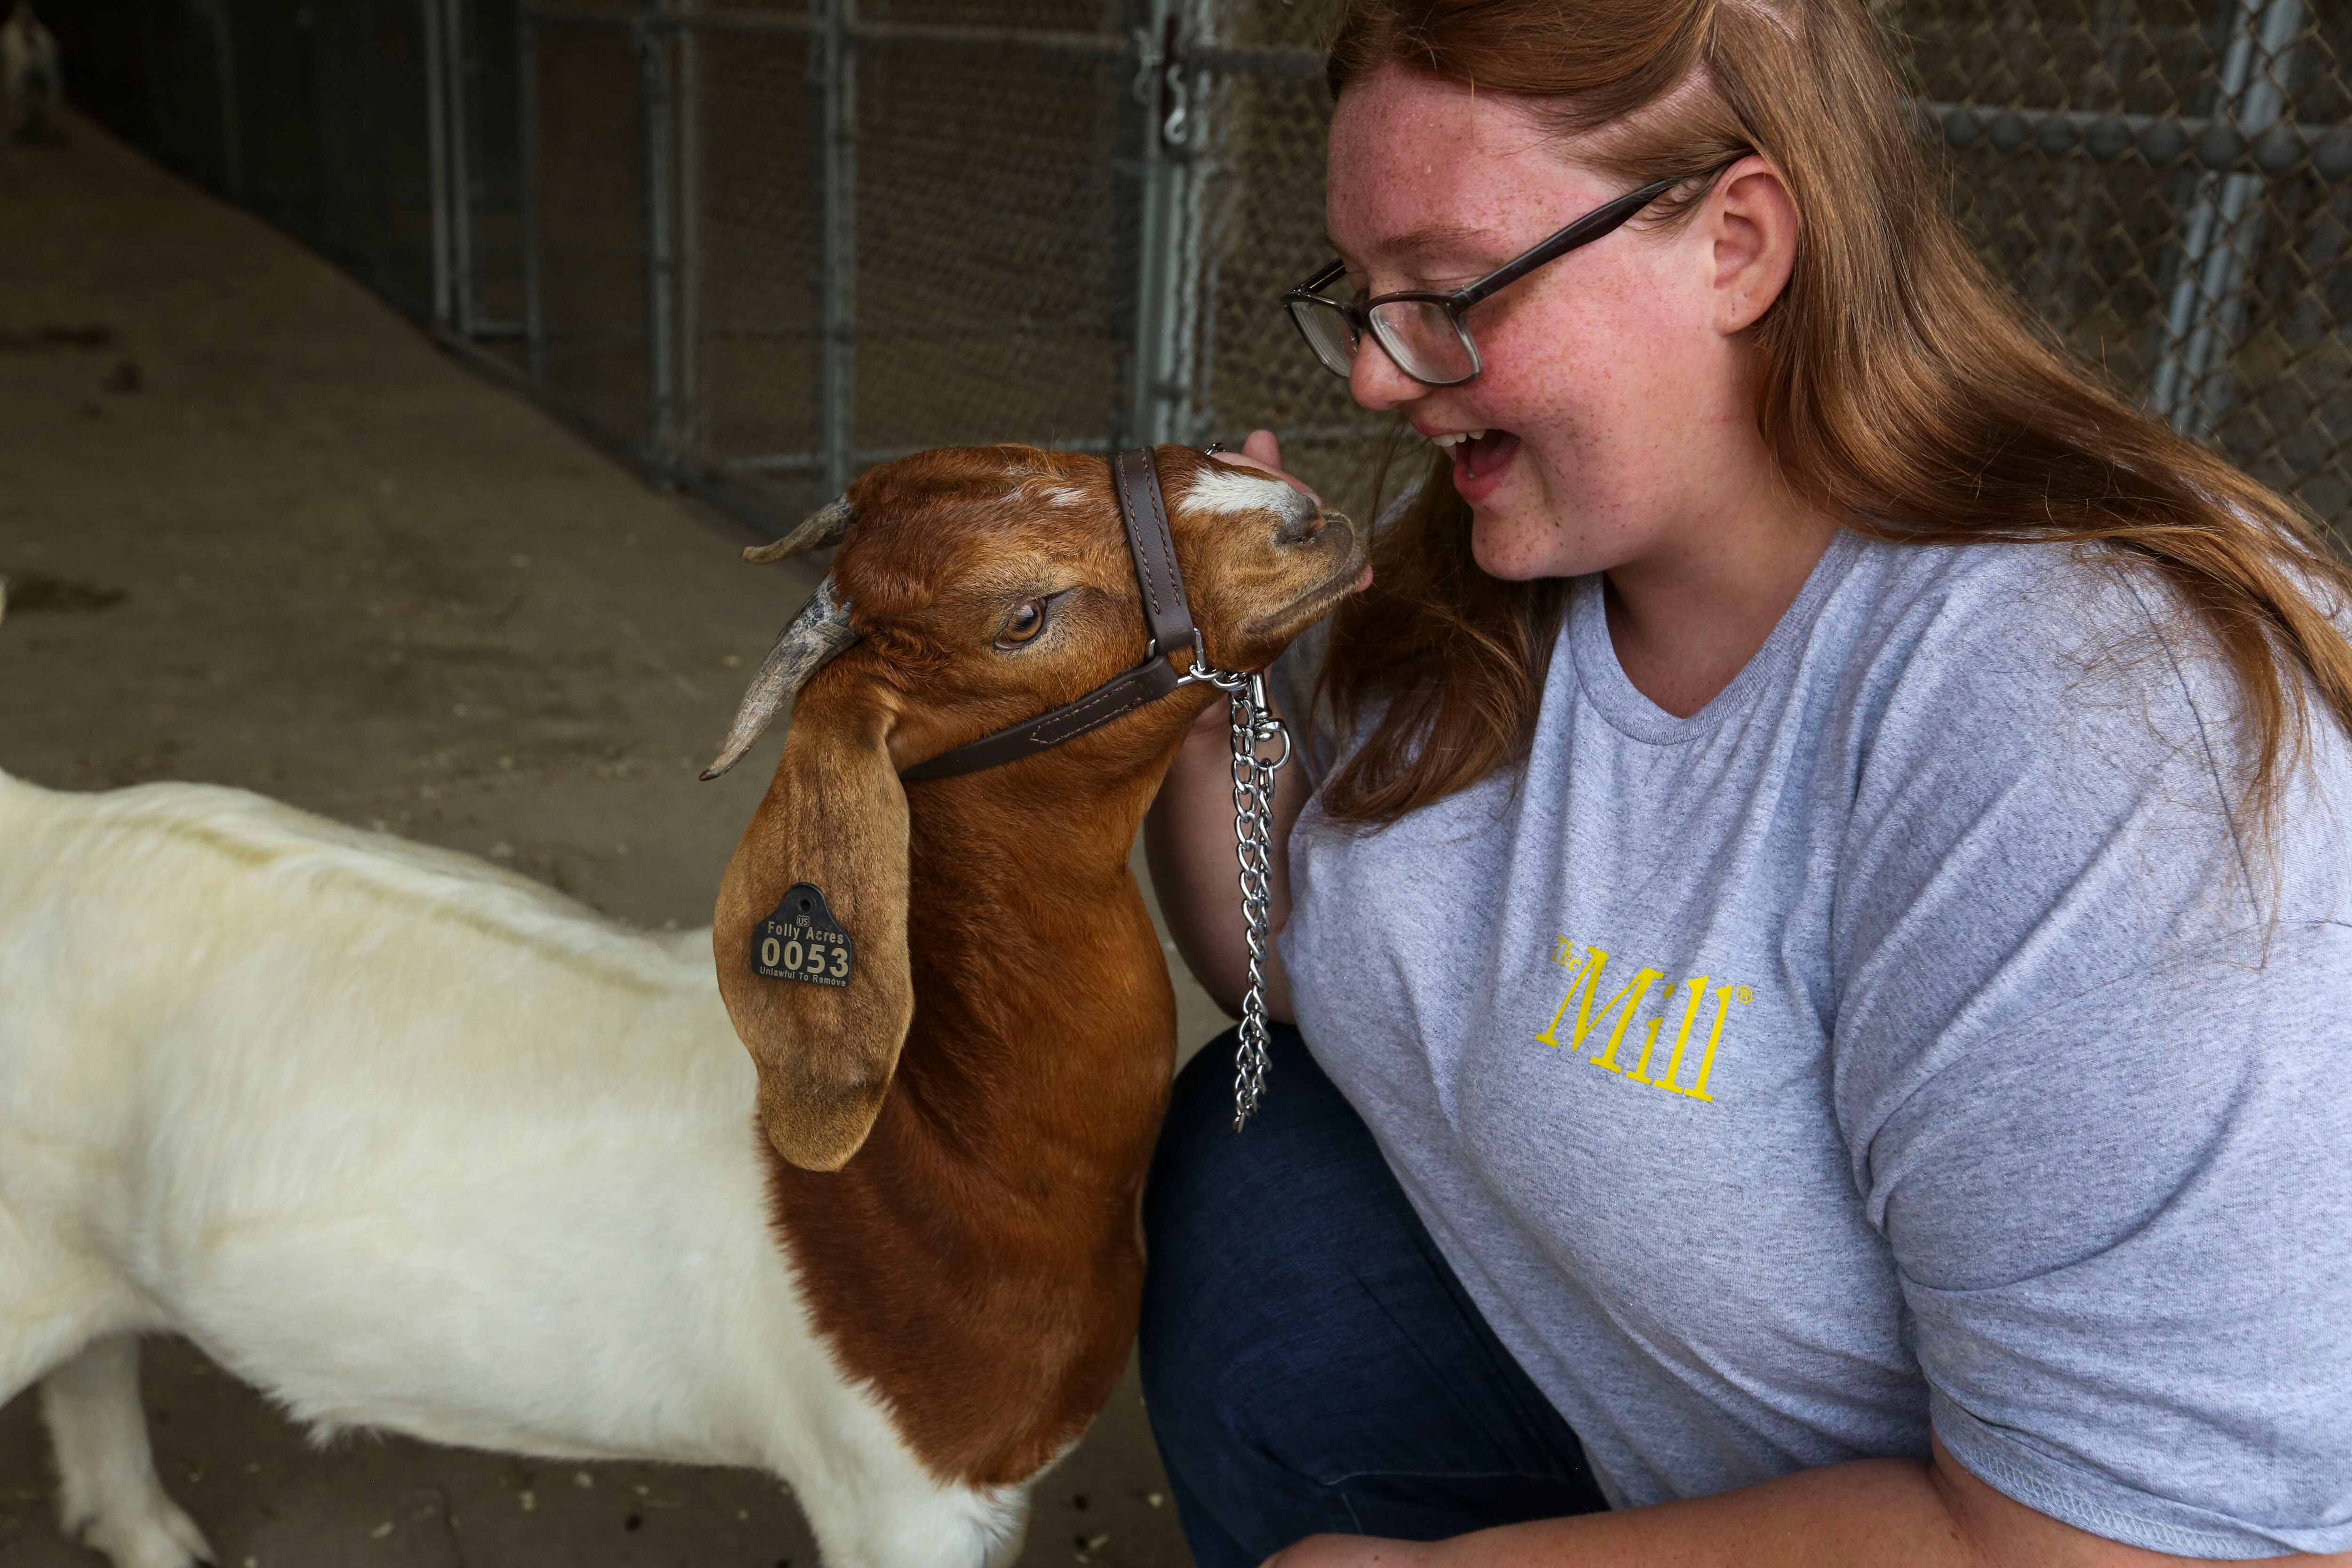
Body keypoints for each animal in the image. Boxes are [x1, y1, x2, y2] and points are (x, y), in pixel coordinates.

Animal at [0, 444, 1363, 1568]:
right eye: (1022, 614)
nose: (1306, 515)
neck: (928, 1147)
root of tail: (38, 826)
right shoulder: (896, 1496)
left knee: (94, 1363)